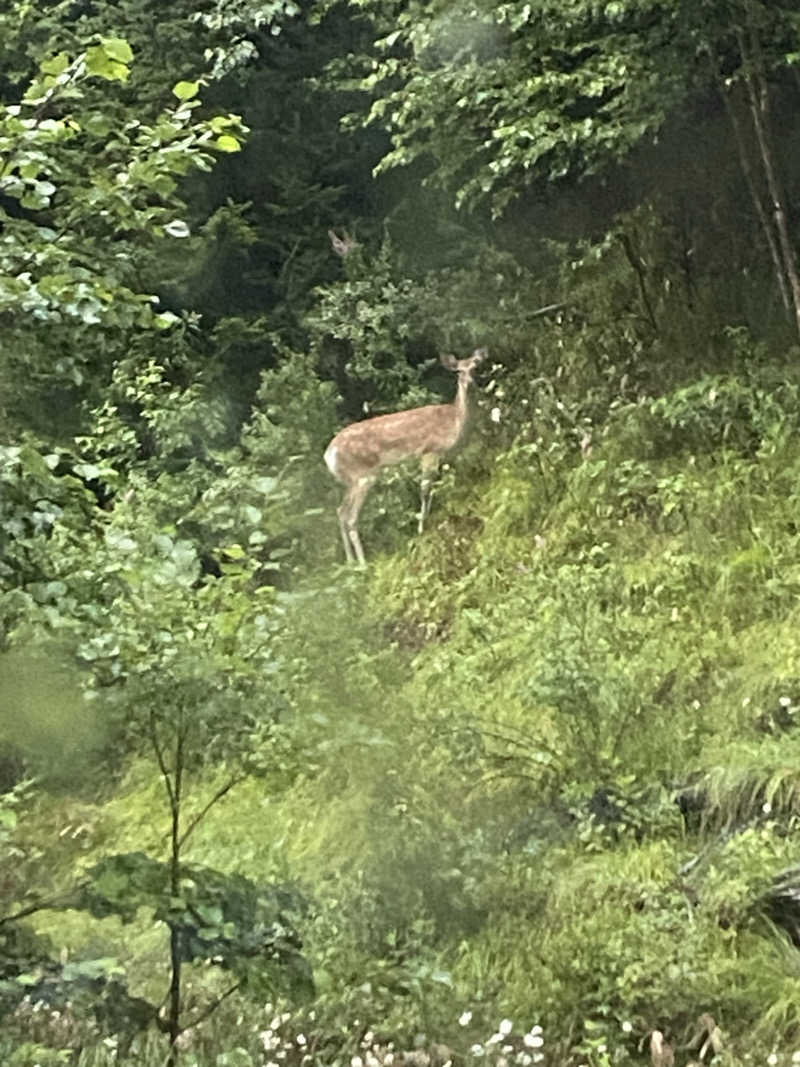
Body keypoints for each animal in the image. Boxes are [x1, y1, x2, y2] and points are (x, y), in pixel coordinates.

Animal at [322, 347, 486, 567]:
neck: (454, 422)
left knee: (340, 511)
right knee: (350, 517)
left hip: (352, 479)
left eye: (475, 367)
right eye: (458, 371)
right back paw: (363, 563)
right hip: (363, 475)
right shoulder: (429, 451)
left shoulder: (445, 458)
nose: (468, 383)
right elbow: (424, 491)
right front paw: (422, 527)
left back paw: (350, 562)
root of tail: (329, 454)